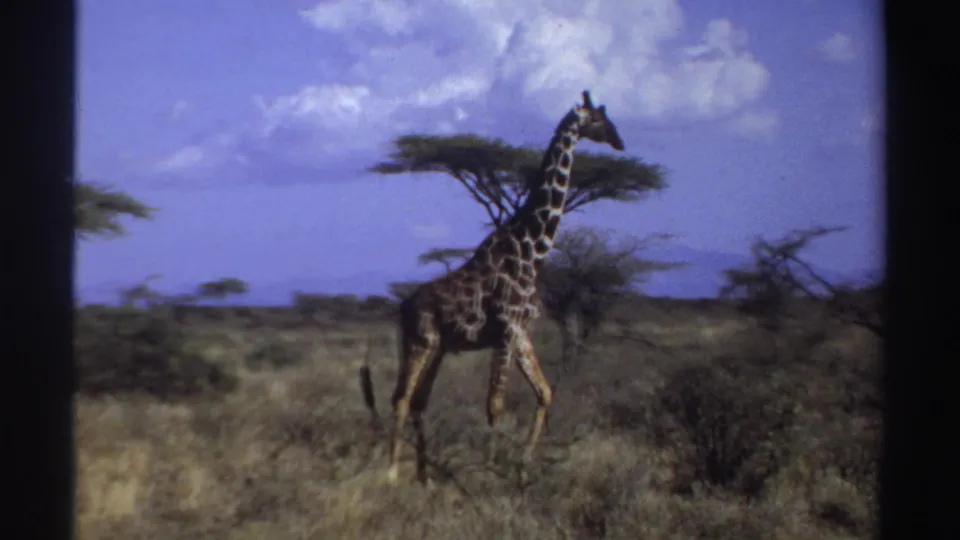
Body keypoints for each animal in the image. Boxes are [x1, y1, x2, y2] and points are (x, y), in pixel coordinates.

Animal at [363, 90, 625, 485]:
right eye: (598, 118)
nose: (619, 142)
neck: (531, 251)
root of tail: (401, 308)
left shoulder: (520, 331)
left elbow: (545, 393)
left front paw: (524, 463)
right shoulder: (505, 330)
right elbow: (494, 405)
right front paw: (491, 470)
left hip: (439, 348)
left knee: (420, 401)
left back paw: (425, 476)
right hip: (419, 341)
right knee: (401, 398)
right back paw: (392, 472)